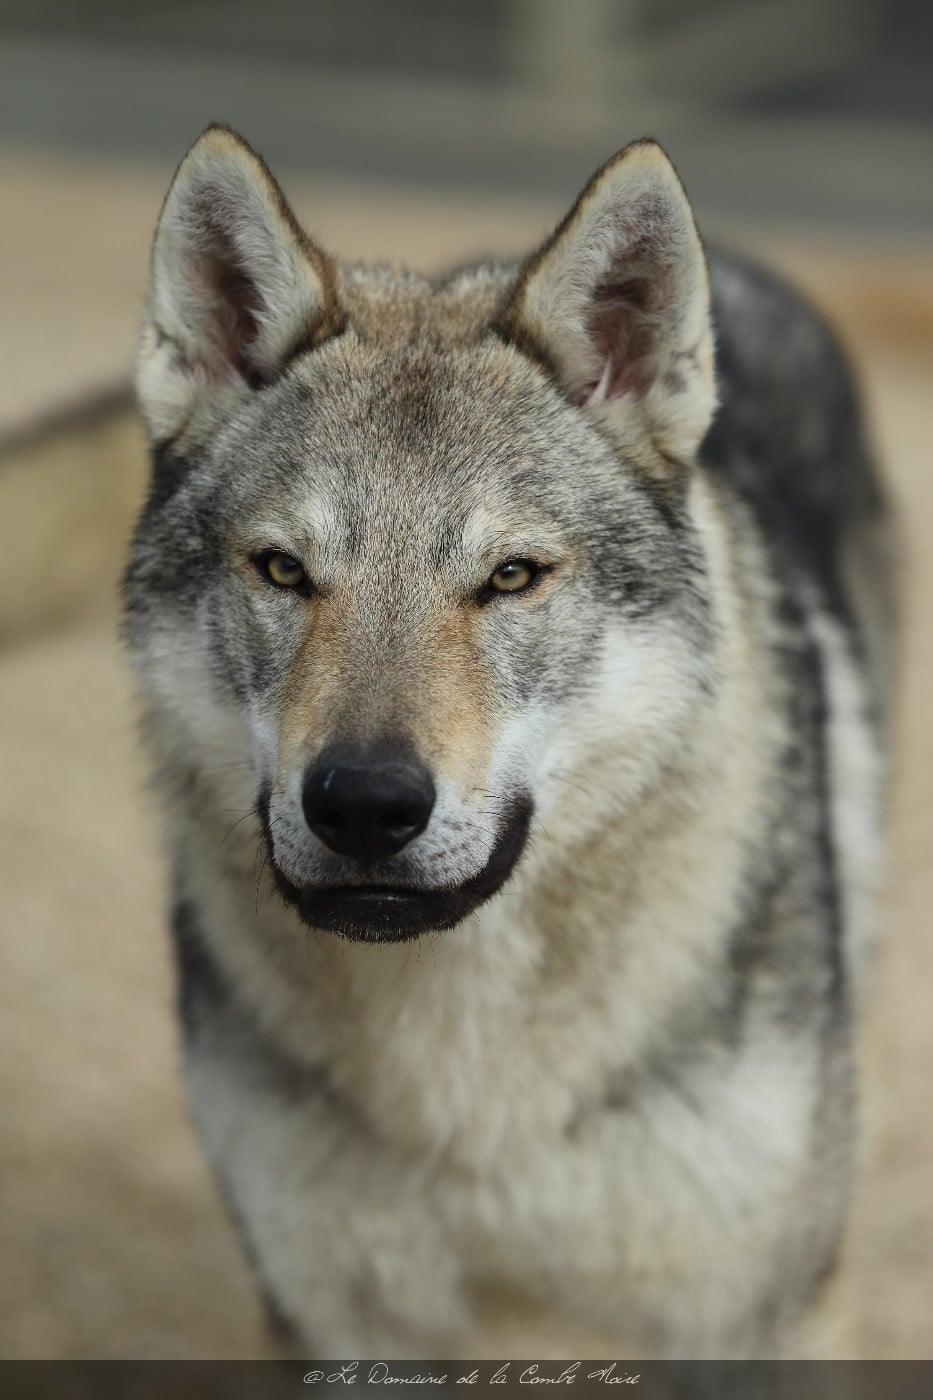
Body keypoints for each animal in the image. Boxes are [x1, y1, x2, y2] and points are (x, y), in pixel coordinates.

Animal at [123, 125, 896, 1359]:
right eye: (284, 570)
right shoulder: (335, 1322)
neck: (467, 1099)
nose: (364, 803)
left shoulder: (762, 1318)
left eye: (509, 577)